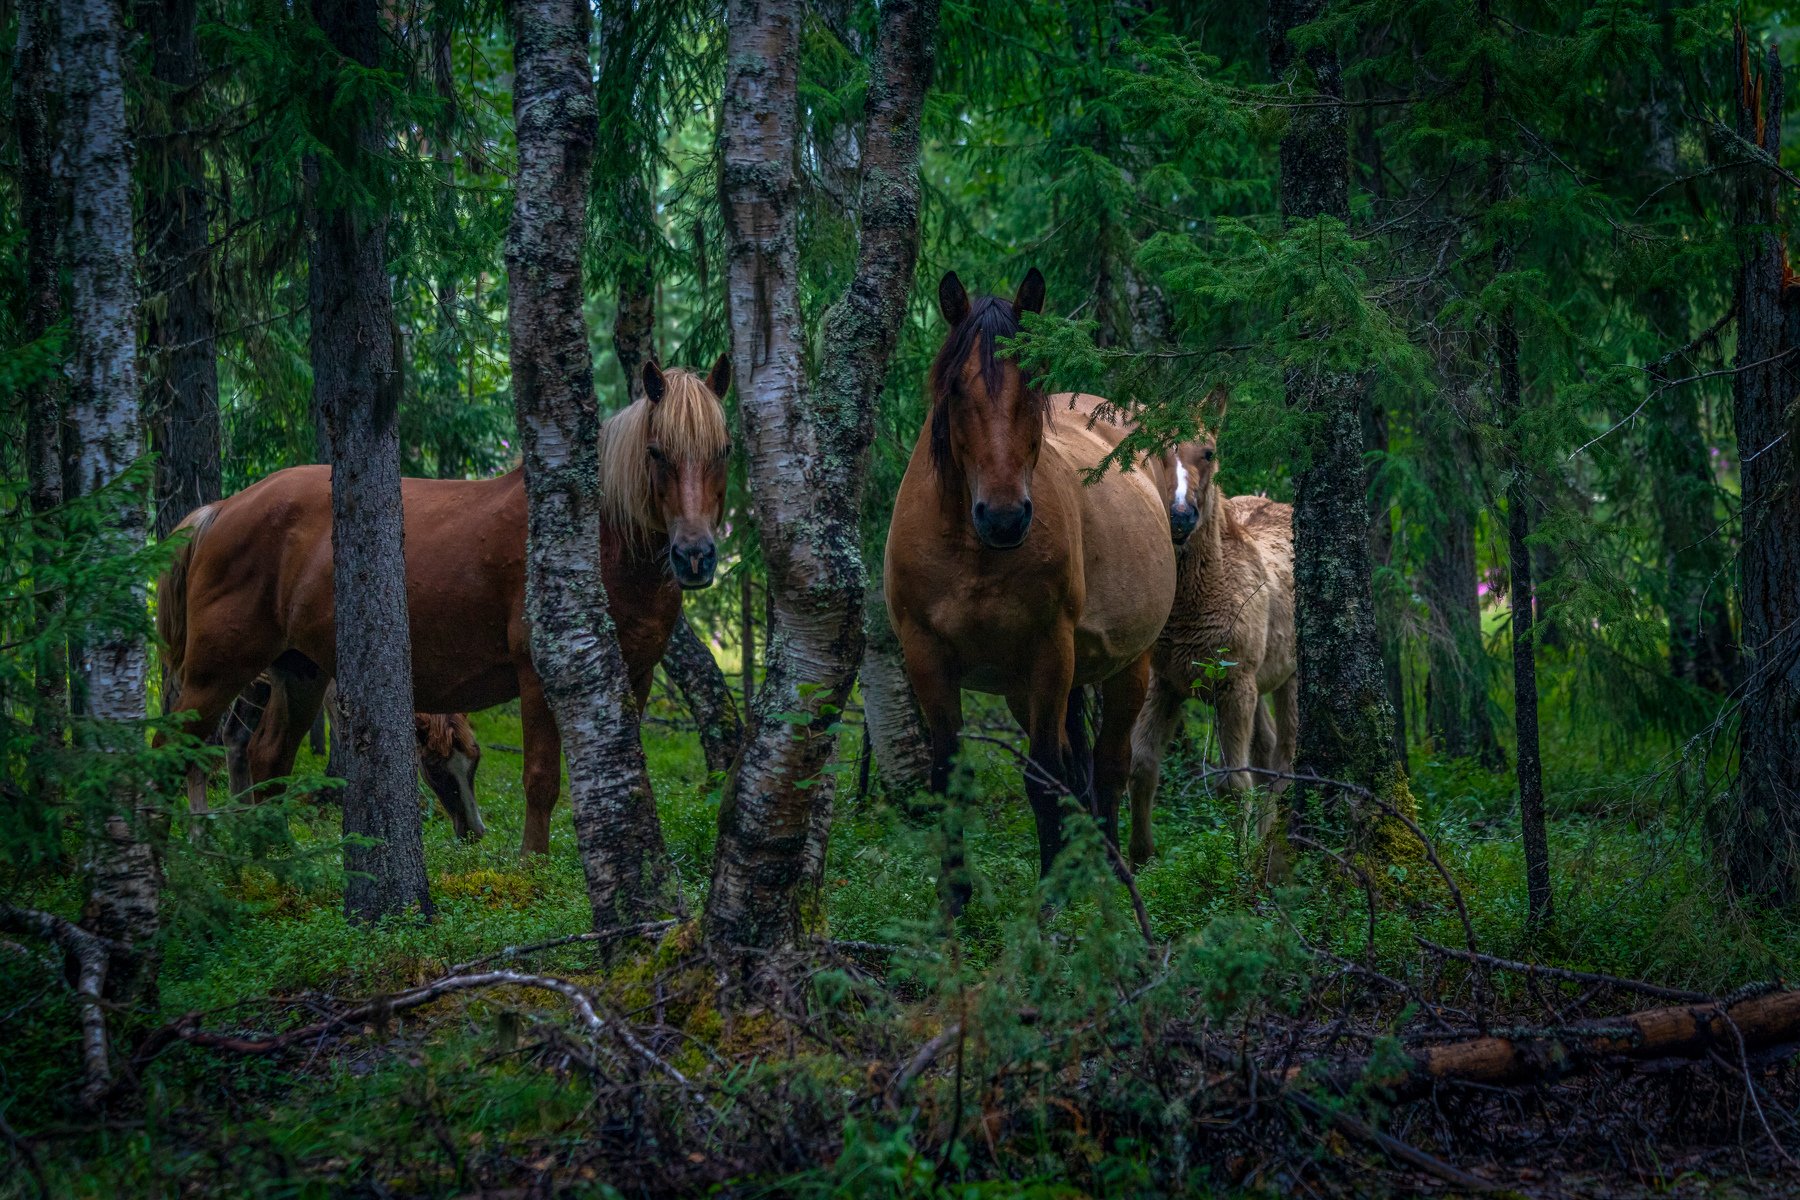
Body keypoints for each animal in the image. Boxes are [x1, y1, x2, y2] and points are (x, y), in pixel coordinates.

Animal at [158, 356, 734, 852]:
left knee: (267, 757)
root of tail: (220, 510)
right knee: (176, 752)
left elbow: (631, 774)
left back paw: (273, 864)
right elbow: (541, 779)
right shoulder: (536, 677)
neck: (600, 540)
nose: (695, 556)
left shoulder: (635, 675)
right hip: (216, 674)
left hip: (299, 671)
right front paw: (532, 865)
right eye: (656, 451)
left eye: (725, 450)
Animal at [885, 269, 1180, 892]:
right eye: (955, 390)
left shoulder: (1049, 651)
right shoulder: (926, 655)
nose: (1004, 518)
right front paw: (955, 900)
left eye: (1035, 385)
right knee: (1078, 766)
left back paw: (1111, 872)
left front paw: (1050, 905)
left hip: (1125, 667)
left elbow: (1045, 779)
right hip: (1027, 688)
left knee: (1108, 767)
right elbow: (951, 780)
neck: (973, 553)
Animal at [1123, 399, 1296, 867]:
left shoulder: (1233, 685)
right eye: (1151, 448)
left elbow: (1232, 785)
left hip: (1289, 679)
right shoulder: (1166, 681)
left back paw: (1269, 849)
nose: (1181, 516)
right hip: (1259, 681)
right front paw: (1140, 858)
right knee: (1266, 750)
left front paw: (1237, 865)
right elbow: (1142, 764)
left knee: (1284, 762)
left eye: (1209, 451)